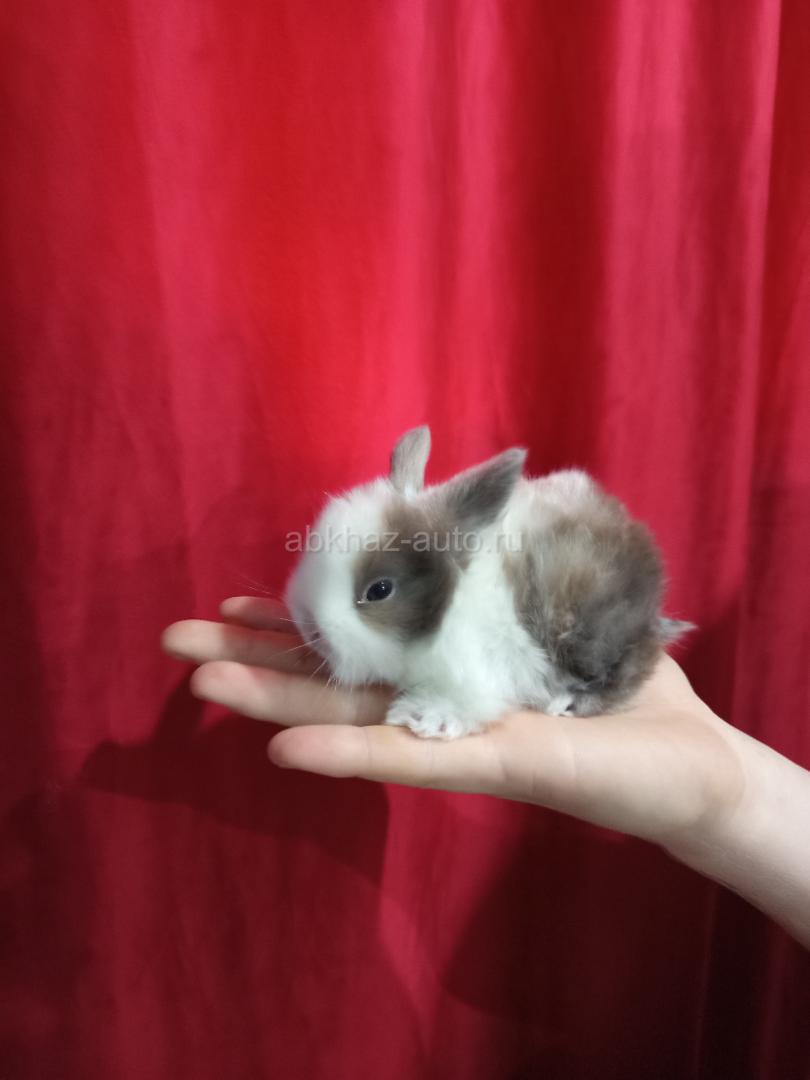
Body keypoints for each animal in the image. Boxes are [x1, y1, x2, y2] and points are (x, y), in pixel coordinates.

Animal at [284, 426, 692, 739]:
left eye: (379, 590)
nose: (310, 629)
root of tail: (656, 618)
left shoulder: (479, 669)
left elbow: (468, 701)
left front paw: (424, 718)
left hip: (589, 642)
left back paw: (563, 702)